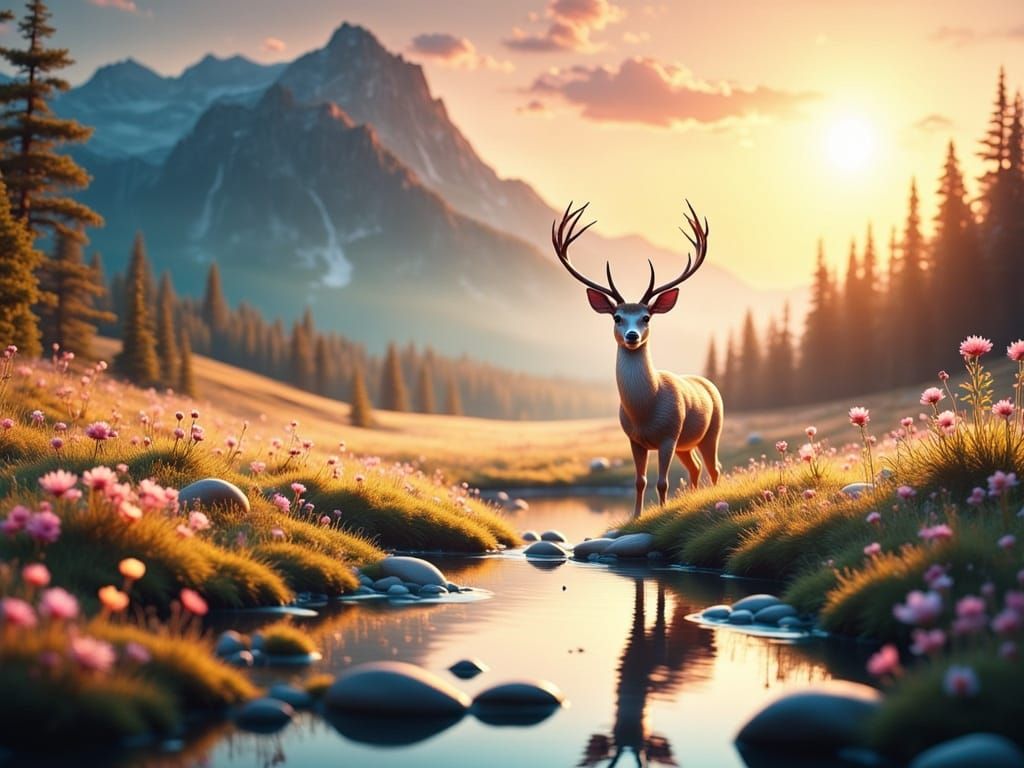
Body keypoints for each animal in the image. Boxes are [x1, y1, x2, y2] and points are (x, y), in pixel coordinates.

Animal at [552, 201, 724, 518]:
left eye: (646, 317)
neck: (646, 411)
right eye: (617, 317)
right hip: (686, 444)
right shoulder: (634, 439)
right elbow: (639, 480)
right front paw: (635, 515)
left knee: (714, 467)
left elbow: (662, 482)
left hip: (711, 431)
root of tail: (709, 385)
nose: (632, 335)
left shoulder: (669, 435)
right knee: (695, 468)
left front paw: (662, 512)